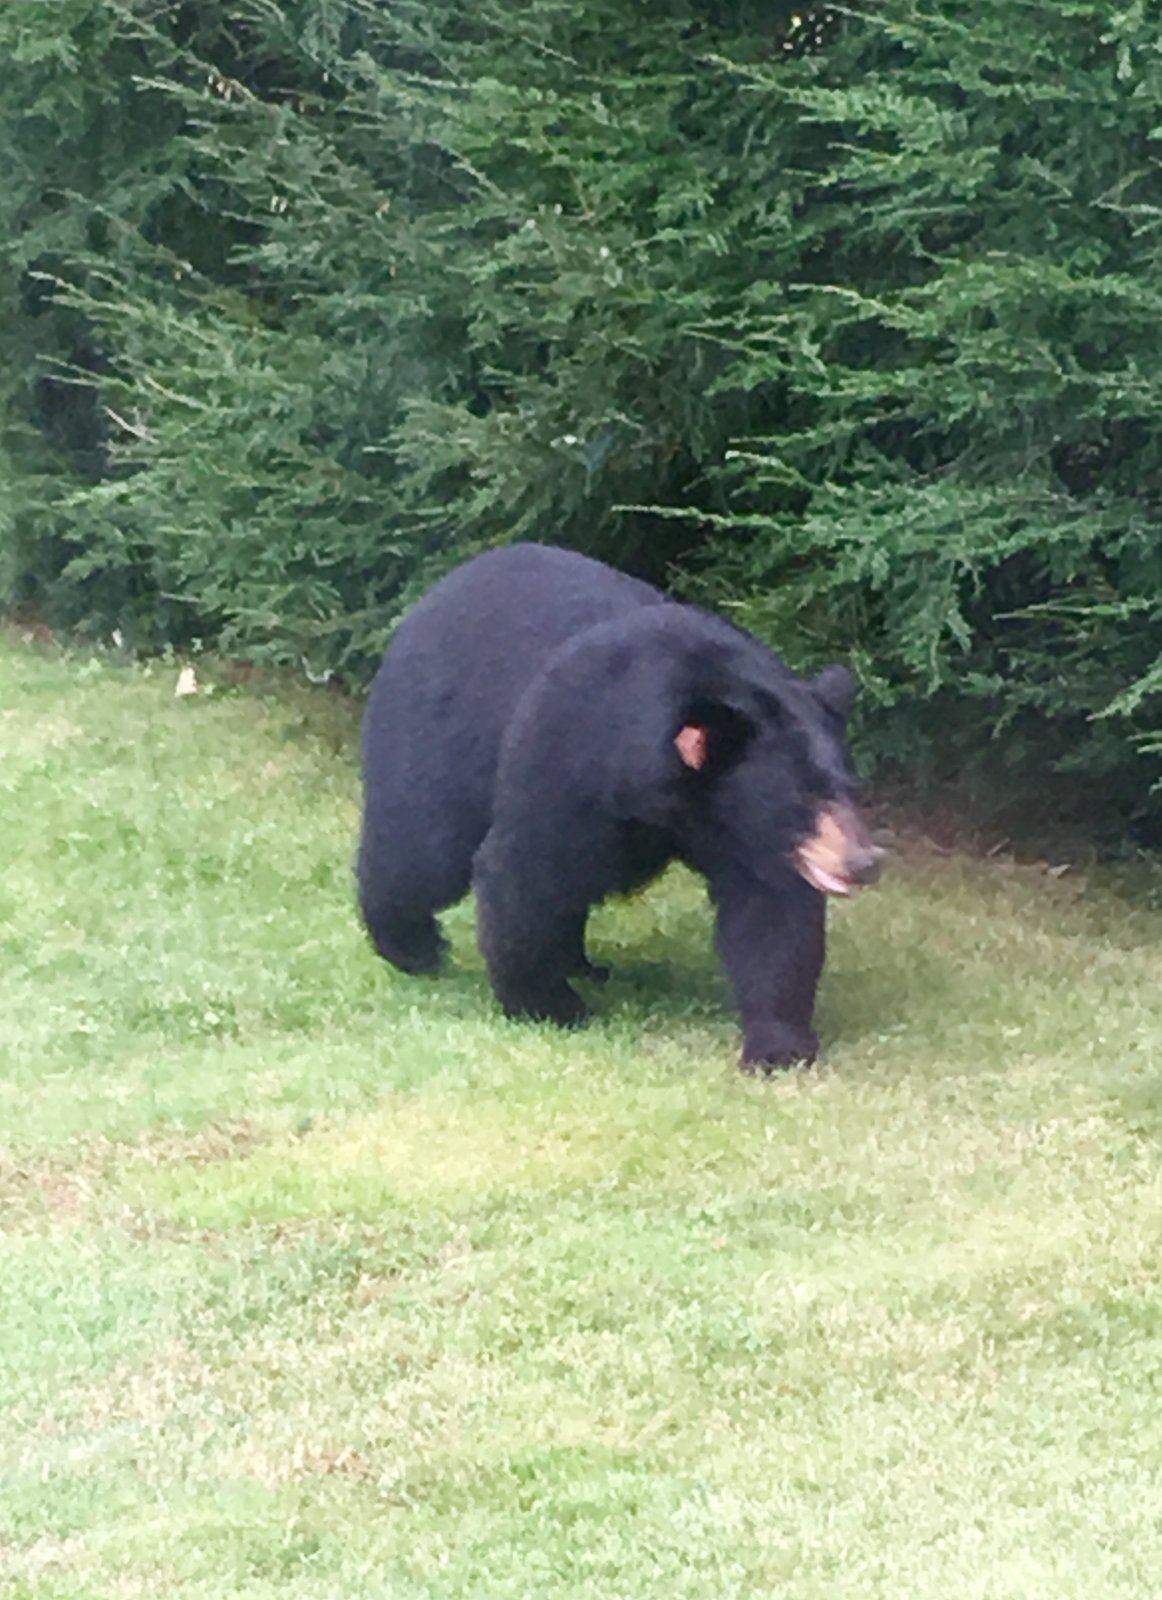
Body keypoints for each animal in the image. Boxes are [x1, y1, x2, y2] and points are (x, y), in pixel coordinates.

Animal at [357, 542, 881, 1069]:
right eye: (802, 798)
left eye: (848, 788)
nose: (864, 861)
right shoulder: (570, 754)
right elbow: (526, 872)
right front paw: (550, 1005)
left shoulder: (742, 832)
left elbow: (771, 913)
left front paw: (779, 1045)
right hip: (437, 734)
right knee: (423, 850)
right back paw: (411, 945)